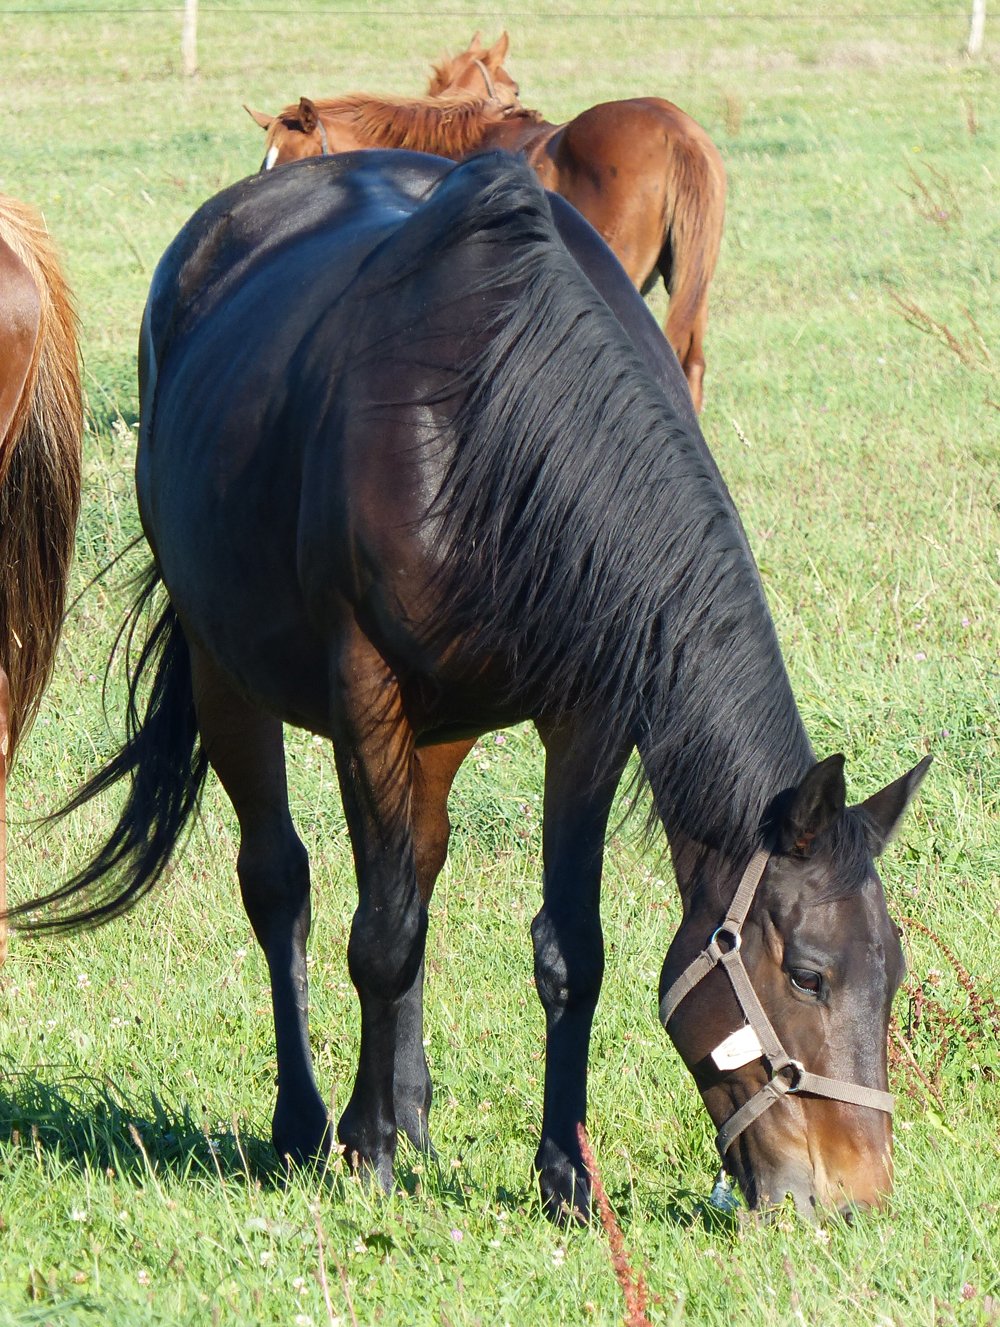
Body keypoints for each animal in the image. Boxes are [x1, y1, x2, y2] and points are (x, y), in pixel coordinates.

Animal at [12, 150, 929, 1222]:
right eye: (812, 975)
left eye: (893, 973)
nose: (857, 1196)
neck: (496, 419)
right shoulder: (366, 690)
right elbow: (380, 935)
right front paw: (368, 1154)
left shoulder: (588, 714)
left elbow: (569, 949)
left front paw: (565, 1173)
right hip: (223, 670)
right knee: (282, 884)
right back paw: (308, 1123)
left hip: (442, 725)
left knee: (418, 859)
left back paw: (404, 1106)